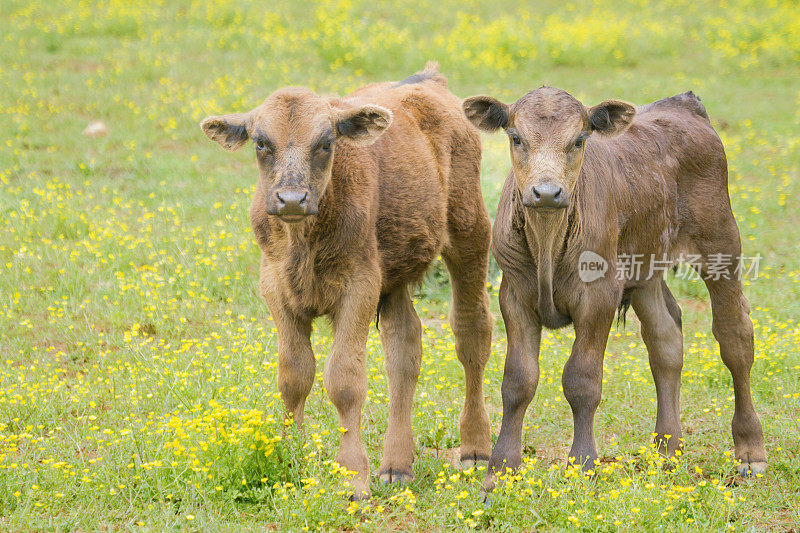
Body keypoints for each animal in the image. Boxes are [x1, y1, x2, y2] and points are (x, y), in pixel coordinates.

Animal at [198, 63, 494, 498]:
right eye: (261, 142)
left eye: (326, 142)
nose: (291, 199)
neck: (303, 240)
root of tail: (429, 82)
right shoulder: (276, 290)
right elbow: (294, 374)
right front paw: (288, 457)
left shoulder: (359, 288)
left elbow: (343, 379)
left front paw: (353, 477)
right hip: (395, 276)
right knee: (404, 347)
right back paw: (396, 466)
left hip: (469, 236)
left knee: (471, 333)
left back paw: (475, 450)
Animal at [466, 87, 764, 490]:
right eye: (515, 137)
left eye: (579, 140)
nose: (546, 193)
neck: (547, 243)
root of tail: (682, 103)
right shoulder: (513, 295)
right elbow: (517, 380)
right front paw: (499, 470)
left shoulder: (599, 295)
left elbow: (581, 379)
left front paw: (582, 465)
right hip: (646, 267)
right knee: (665, 338)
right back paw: (667, 448)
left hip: (721, 241)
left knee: (735, 337)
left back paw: (749, 450)